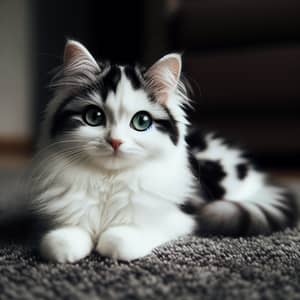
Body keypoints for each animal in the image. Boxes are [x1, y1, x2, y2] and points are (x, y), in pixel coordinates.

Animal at [27, 40, 298, 262]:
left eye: (141, 121)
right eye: (94, 117)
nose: (115, 142)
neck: (111, 180)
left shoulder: (179, 218)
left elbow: (118, 240)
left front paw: (107, 243)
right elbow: (58, 242)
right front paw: (70, 248)